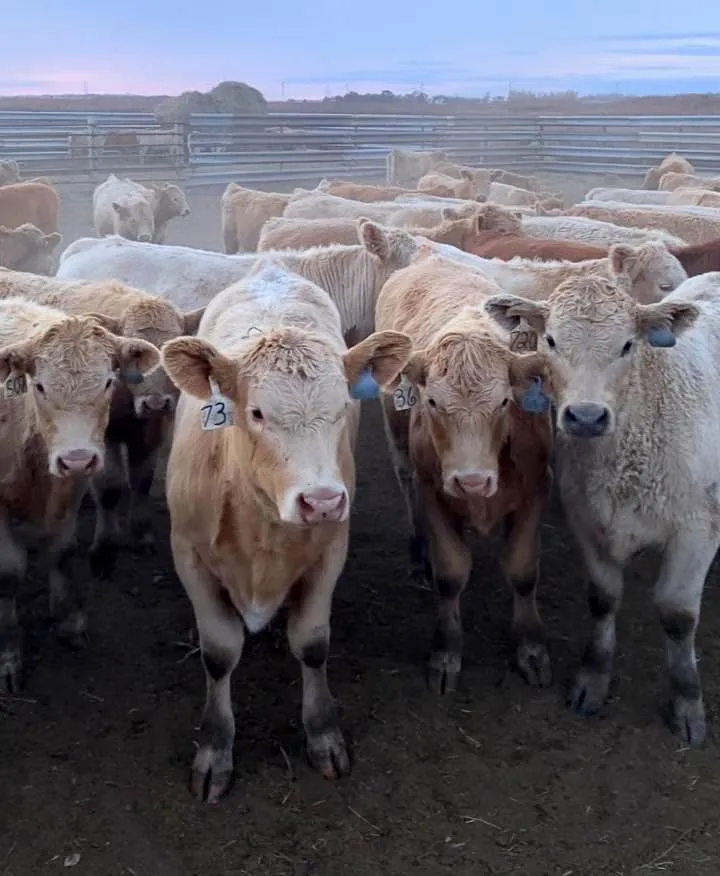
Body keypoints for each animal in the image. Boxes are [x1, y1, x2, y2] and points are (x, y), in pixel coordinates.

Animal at [0, 297, 160, 693]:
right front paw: (8, 654)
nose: (76, 459)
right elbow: (8, 572)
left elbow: (63, 551)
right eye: (39, 386)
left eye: (108, 382)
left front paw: (70, 621)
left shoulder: (73, 488)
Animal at [160, 258, 411, 800]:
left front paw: (322, 733)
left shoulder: (331, 549)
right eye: (256, 411)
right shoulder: (187, 553)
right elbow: (219, 652)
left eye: (342, 407)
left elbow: (312, 643)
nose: (322, 501)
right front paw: (216, 746)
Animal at [375, 248, 554, 693]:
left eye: (505, 401)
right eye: (432, 402)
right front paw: (446, 652)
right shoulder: (432, 491)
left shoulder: (536, 487)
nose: (471, 480)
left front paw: (530, 648)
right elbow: (451, 573)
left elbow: (523, 571)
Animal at [482, 270, 720, 745]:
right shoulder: (587, 518)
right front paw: (593, 678)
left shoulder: (696, 529)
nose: (587, 417)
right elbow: (603, 599)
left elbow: (677, 614)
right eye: (550, 340)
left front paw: (687, 701)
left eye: (628, 344)